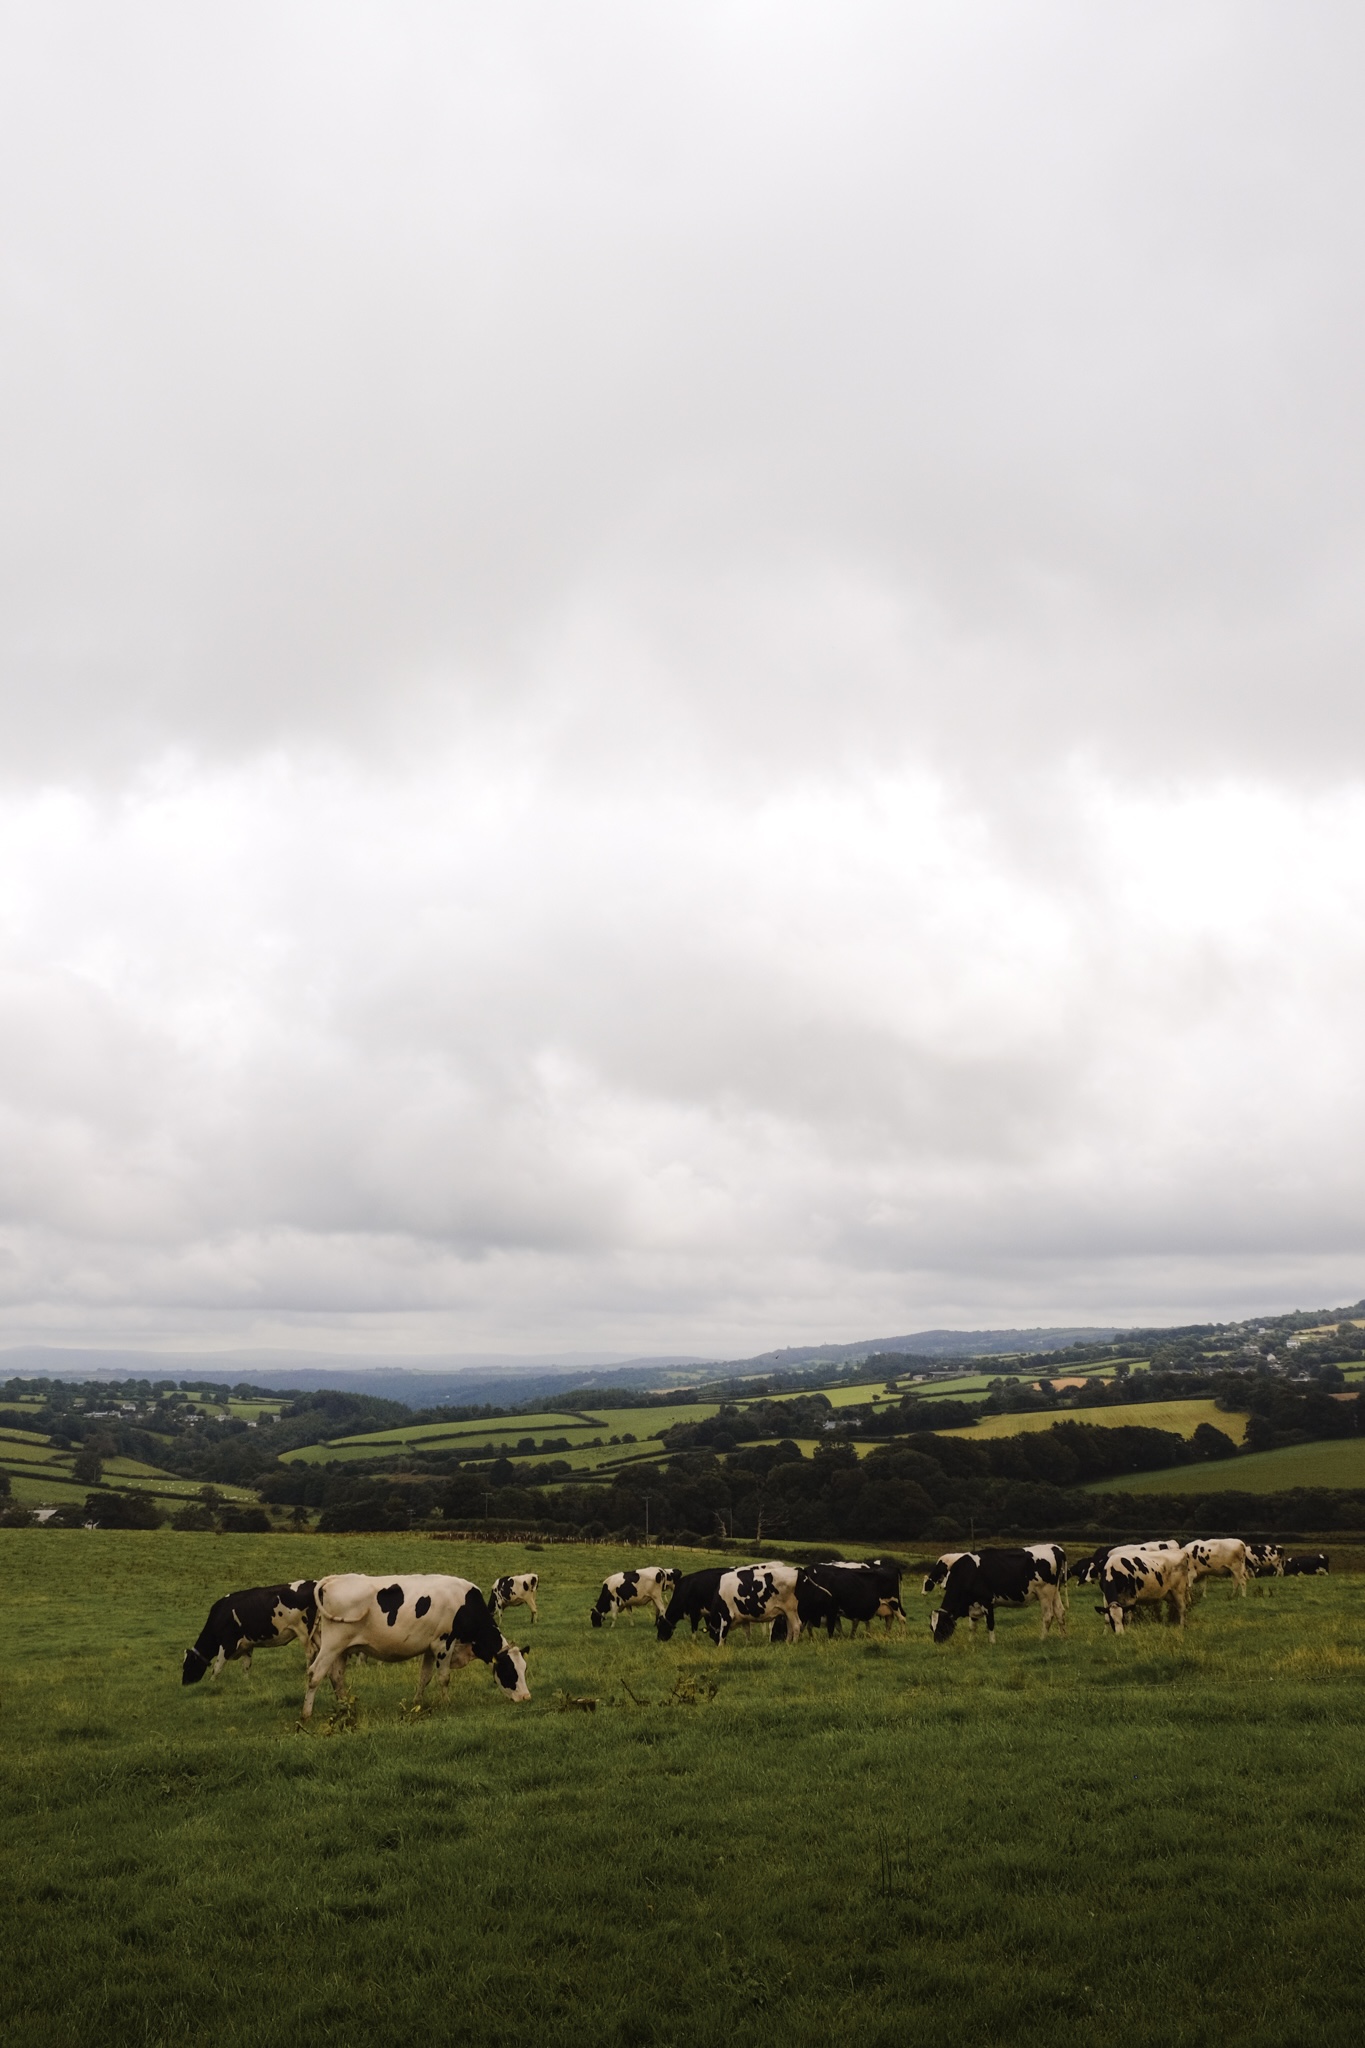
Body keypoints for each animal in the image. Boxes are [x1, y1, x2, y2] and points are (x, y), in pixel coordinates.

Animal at [183, 1572, 319, 1687]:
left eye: (187, 1665)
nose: (184, 1684)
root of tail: (315, 1583)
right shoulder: (247, 1646)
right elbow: (246, 1666)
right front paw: (245, 1681)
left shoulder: (227, 1644)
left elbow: (217, 1667)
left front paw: (211, 1684)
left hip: (304, 1631)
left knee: (311, 1652)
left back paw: (308, 1673)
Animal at [300, 1572, 532, 1720]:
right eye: (509, 1671)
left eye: (524, 1669)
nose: (526, 1697)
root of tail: (334, 1578)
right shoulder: (444, 1643)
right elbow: (444, 1678)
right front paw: (446, 1703)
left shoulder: (430, 1647)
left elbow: (424, 1677)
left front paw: (417, 1702)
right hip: (332, 1644)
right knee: (315, 1674)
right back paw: (306, 1714)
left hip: (341, 1649)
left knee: (336, 1677)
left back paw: (345, 1708)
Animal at [929, 1548, 1064, 1646]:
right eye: (931, 1627)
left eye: (942, 1625)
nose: (937, 1642)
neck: (967, 1573)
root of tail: (1055, 1548)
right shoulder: (973, 1604)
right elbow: (972, 1626)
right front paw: (971, 1641)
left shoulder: (987, 1601)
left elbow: (990, 1623)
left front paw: (992, 1642)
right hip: (1055, 1592)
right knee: (1059, 1611)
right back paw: (1064, 1636)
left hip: (1045, 1593)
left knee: (1048, 1616)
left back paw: (1042, 1639)